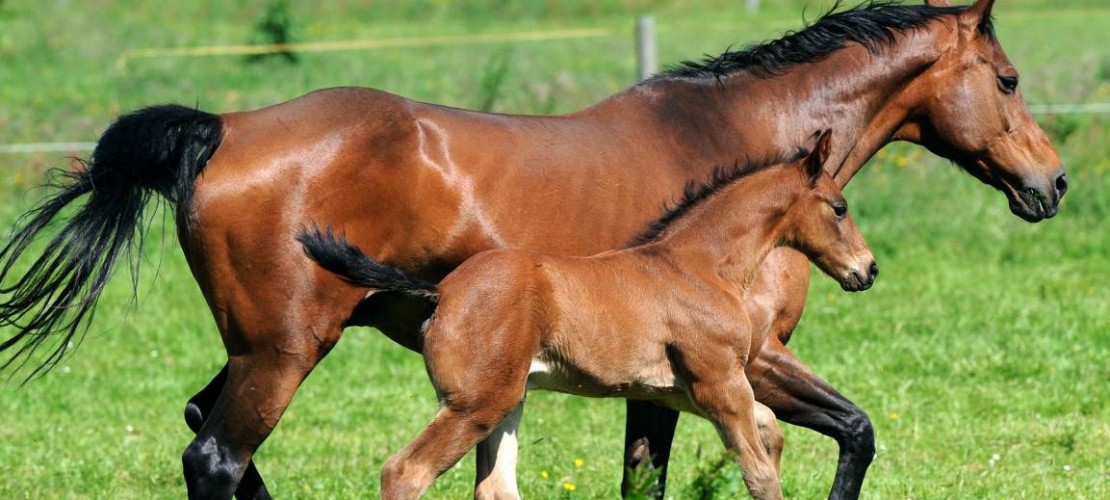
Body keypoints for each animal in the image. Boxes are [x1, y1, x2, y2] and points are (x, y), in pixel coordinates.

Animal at [299, 130, 877, 500]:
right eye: (840, 207)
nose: (867, 270)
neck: (699, 266)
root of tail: (441, 291)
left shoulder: (682, 391)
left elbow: (770, 429)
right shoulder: (719, 384)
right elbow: (759, 473)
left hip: (507, 400)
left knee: (496, 488)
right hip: (474, 406)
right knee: (405, 472)